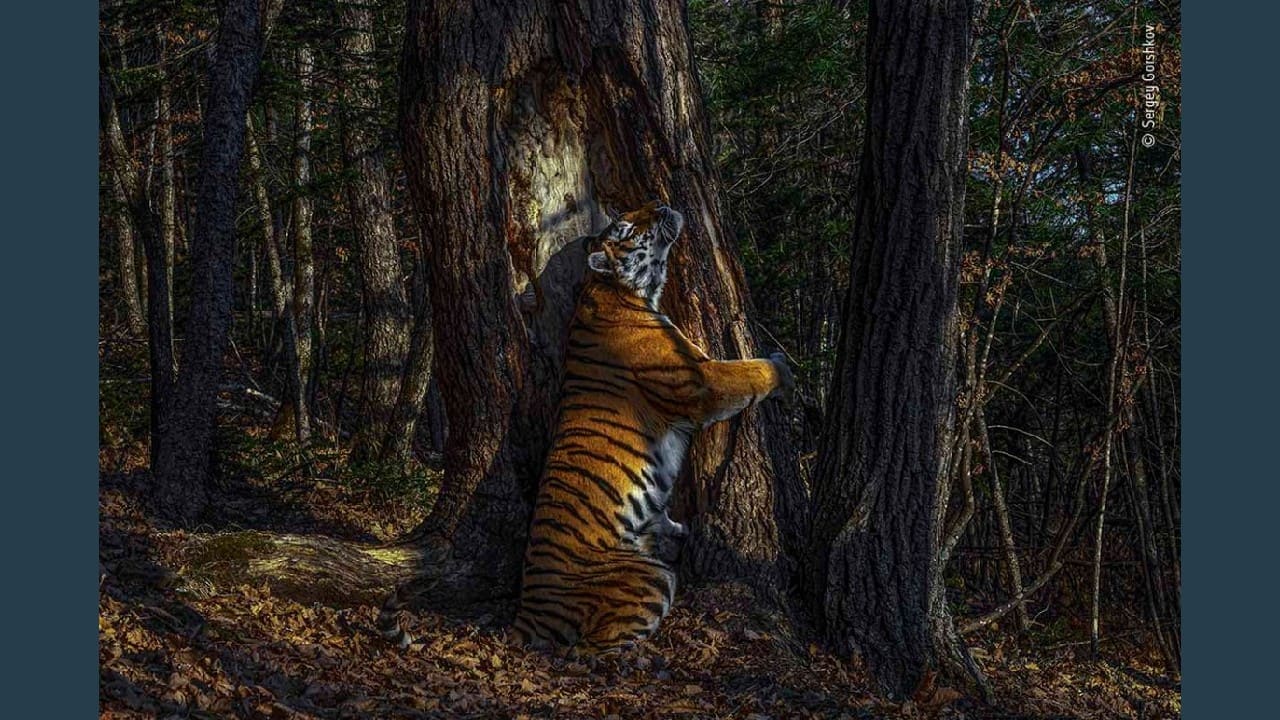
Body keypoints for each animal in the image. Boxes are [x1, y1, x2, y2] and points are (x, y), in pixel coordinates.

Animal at [509, 201, 793, 656]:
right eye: (626, 228)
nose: (660, 204)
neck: (616, 291)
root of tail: (526, 612)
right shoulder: (701, 380)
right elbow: (749, 372)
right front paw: (783, 369)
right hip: (648, 579)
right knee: (592, 651)